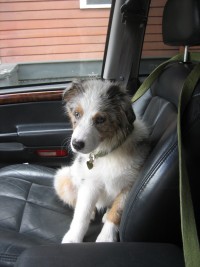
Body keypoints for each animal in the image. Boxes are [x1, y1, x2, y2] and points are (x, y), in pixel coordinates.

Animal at [54, 79, 149, 243]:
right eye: (77, 114)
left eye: (100, 119)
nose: (76, 144)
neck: (109, 152)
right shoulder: (90, 183)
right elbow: (82, 213)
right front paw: (73, 238)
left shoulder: (129, 185)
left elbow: (117, 212)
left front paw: (106, 237)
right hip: (63, 178)